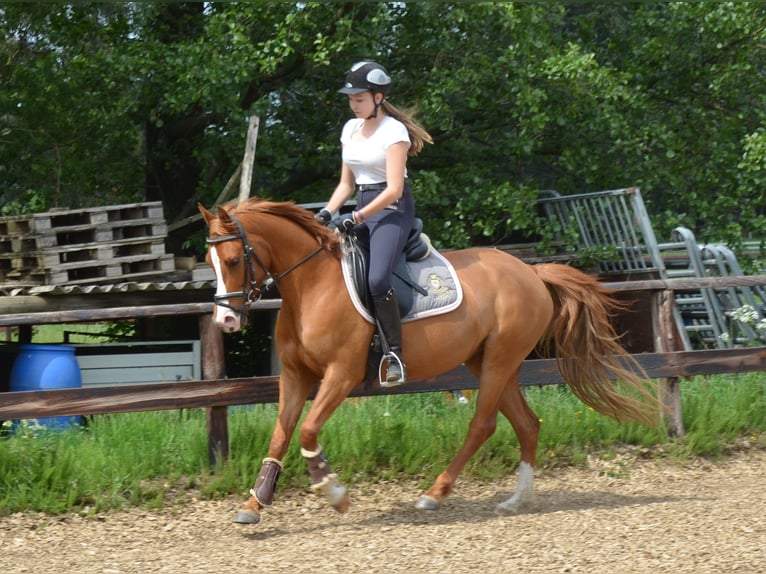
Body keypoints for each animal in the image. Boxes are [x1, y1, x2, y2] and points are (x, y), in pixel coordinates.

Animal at [201, 199, 664, 528]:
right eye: (210, 263)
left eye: (234, 260)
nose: (226, 321)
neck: (312, 285)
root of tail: (531, 272)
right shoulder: (296, 376)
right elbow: (281, 435)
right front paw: (255, 503)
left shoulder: (341, 375)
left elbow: (309, 429)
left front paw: (334, 492)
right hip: (490, 361)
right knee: (526, 423)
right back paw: (518, 500)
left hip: (498, 361)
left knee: (484, 424)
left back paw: (435, 494)